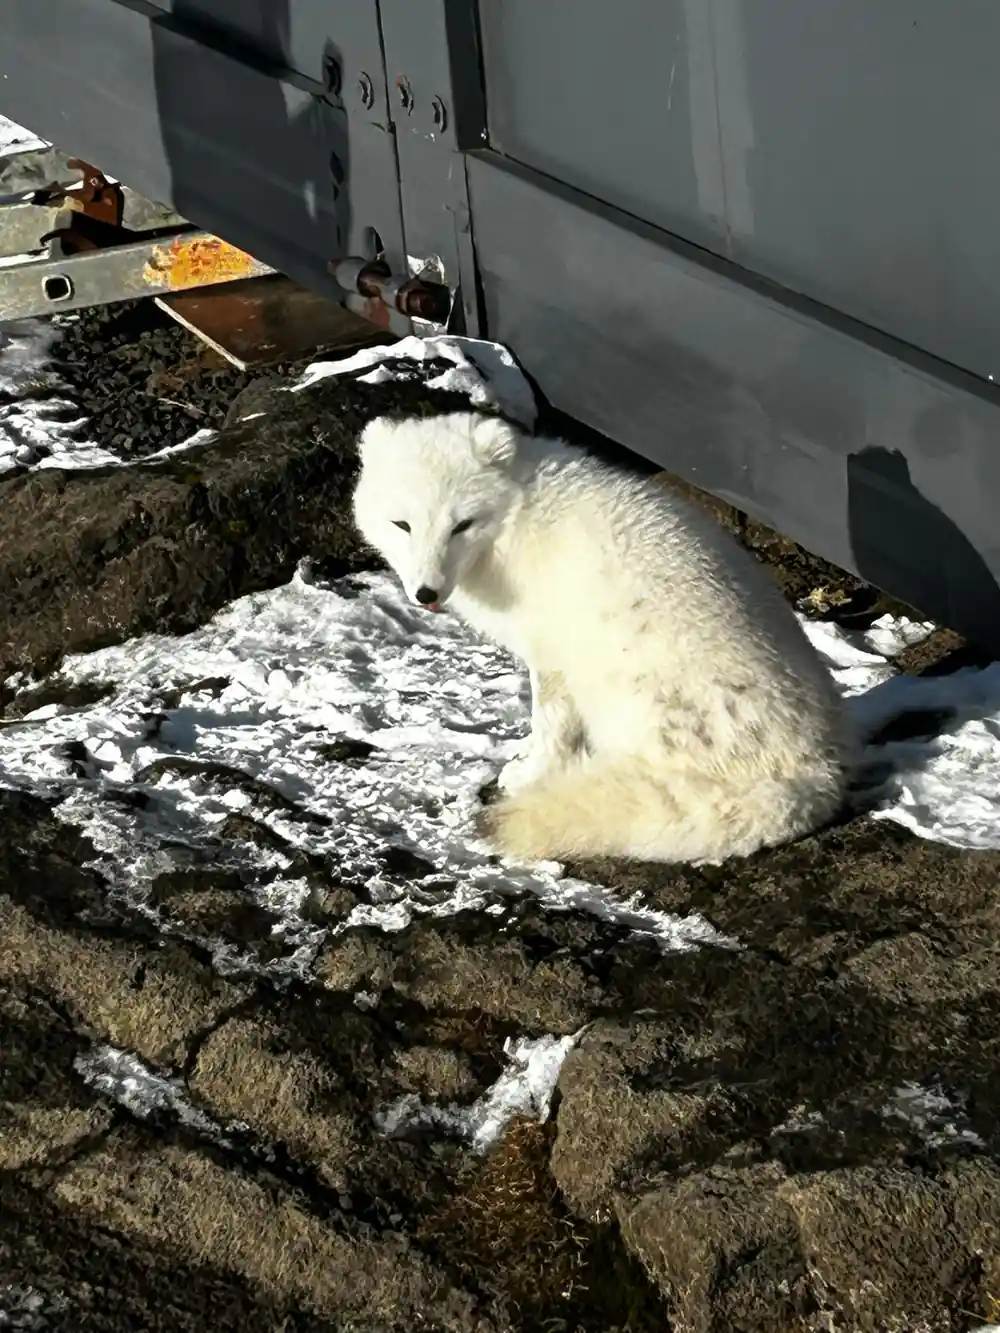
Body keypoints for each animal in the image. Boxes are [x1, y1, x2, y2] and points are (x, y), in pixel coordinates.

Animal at [350, 410, 854, 865]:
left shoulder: (551, 655)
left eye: (461, 525)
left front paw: (531, 773)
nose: (426, 593)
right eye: (402, 525)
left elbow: (550, 727)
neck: (516, 520)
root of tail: (822, 770)